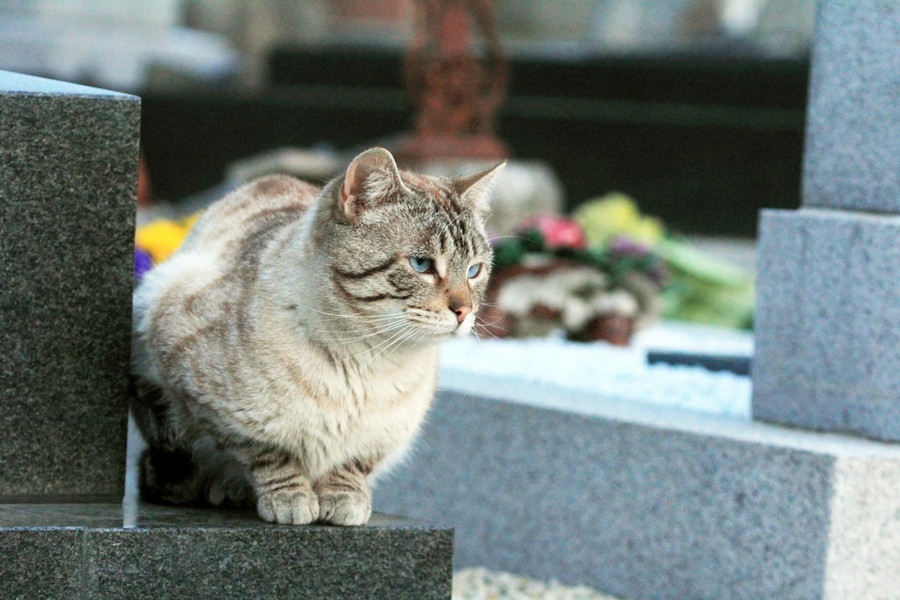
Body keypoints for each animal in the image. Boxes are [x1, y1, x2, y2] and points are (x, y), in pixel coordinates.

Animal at [130, 149, 502, 524]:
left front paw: (344, 500)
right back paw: (224, 489)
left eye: (474, 270)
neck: (368, 358)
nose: (464, 311)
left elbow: (351, 466)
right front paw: (290, 499)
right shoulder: (207, 399)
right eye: (422, 264)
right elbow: (269, 454)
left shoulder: (385, 434)